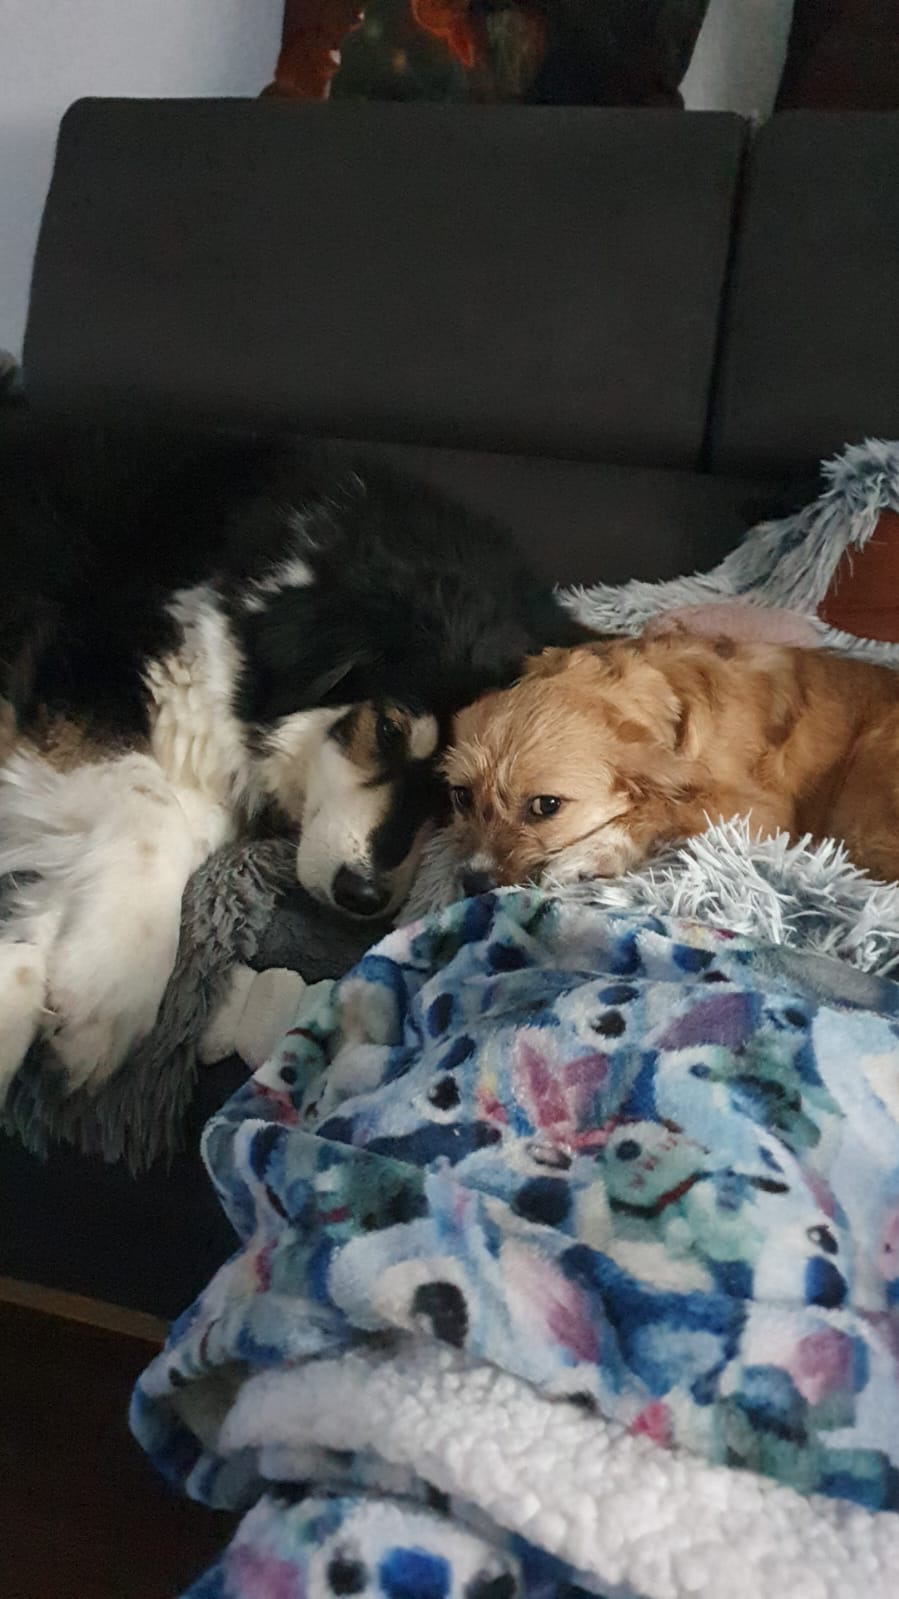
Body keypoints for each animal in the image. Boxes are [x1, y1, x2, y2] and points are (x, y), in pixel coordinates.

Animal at [0, 417, 585, 1093]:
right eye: (389, 730)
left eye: (455, 794)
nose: (364, 897)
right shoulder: (78, 684)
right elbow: (155, 807)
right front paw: (110, 985)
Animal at [444, 631, 899, 893]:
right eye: (461, 796)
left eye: (546, 806)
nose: (474, 883)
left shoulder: (766, 812)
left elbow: (667, 805)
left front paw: (599, 849)